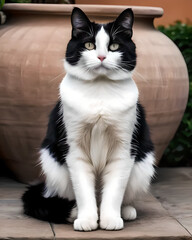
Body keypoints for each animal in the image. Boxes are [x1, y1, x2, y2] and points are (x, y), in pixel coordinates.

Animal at [22, 7, 155, 232]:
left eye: (114, 46)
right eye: (89, 45)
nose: (101, 56)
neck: (100, 90)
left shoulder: (123, 148)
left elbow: (115, 190)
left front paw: (110, 219)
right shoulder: (74, 148)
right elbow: (83, 190)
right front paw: (86, 220)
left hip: (143, 165)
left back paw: (126, 211)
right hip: (53, 164)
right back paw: (74, 211)